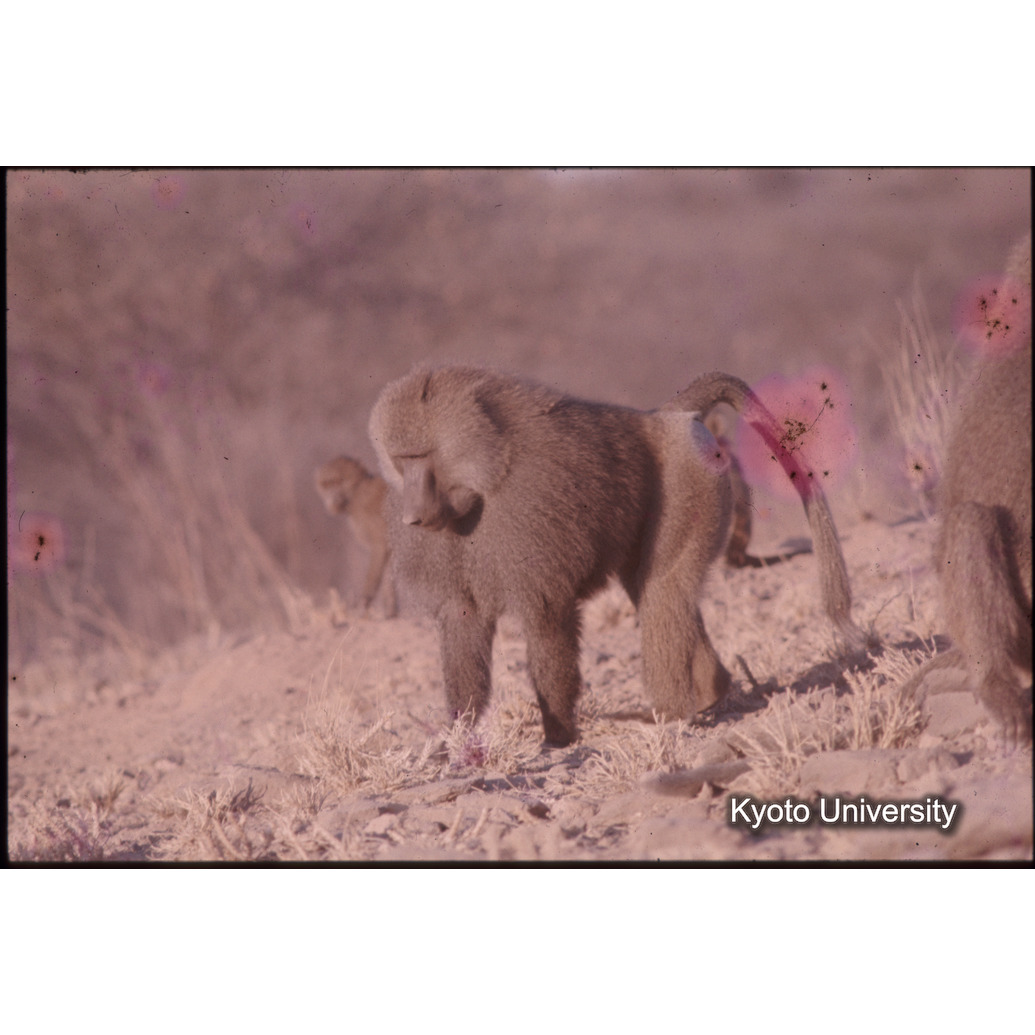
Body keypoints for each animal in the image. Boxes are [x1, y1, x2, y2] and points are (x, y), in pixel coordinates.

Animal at [314, 456, 397, 617]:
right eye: (327, 484)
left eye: (339, 481)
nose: (332, 498)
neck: (356, 492)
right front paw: (390, 613)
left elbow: (380, 549)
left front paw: (363, 604)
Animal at [369, 365, 868, 747]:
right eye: (400, 460)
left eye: (420, 457)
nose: (412, 516)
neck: (487, 476)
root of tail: (662, 416)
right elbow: (463, 619)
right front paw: (460, 733)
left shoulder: (531, 524)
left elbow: (547, 619)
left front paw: (559, 737)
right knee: (653, 589)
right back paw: (711, 693)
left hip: (690, 479)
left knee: (663, 591)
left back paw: (670, 713)